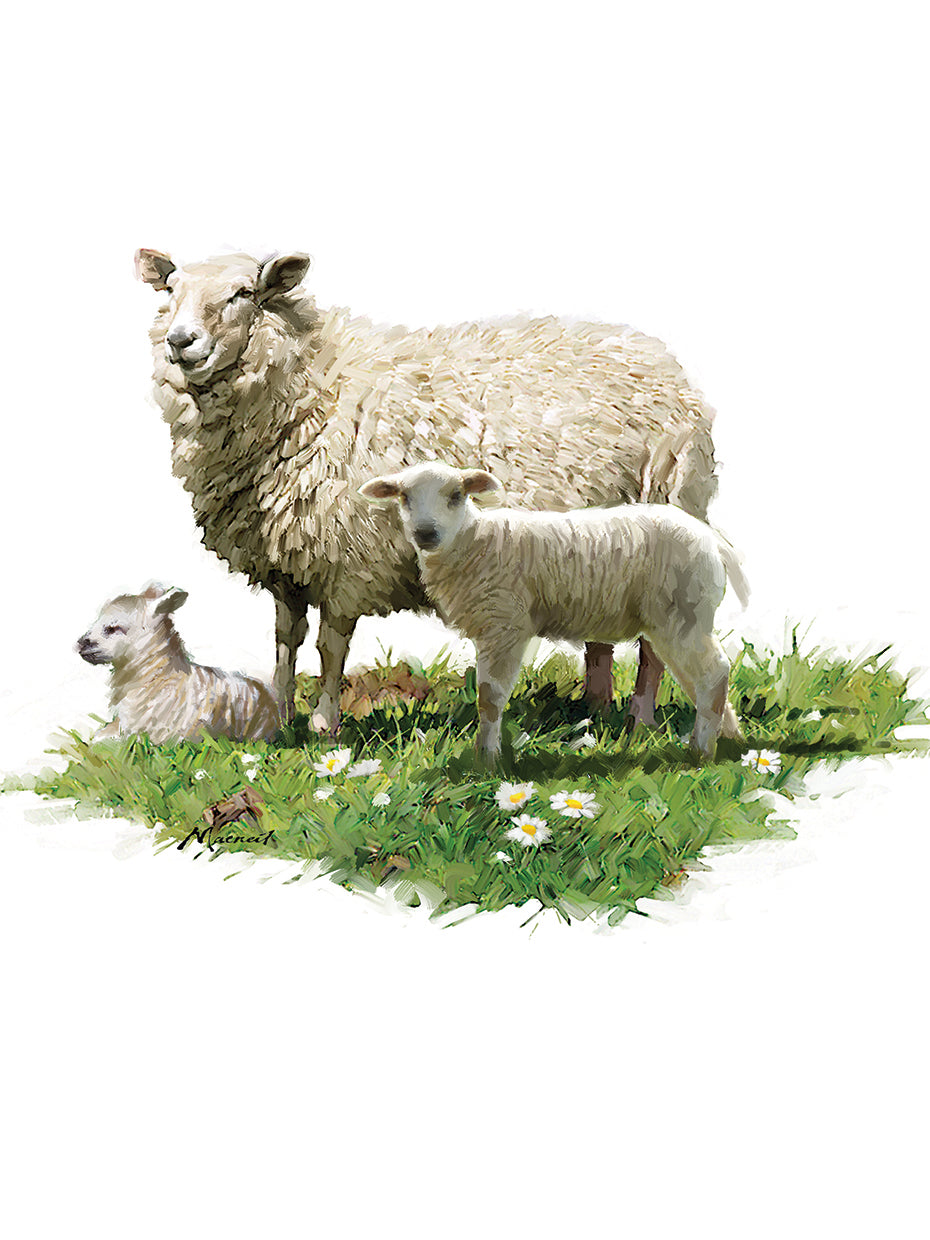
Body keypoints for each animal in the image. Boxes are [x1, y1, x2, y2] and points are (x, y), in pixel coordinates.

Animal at [135, 246, 719, 732]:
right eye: (171, 290)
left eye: (243, 294)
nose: (180, 341)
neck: (314, 386)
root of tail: (662, 359)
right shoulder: (288, 558)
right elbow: (285, 642)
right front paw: (277, 718)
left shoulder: (348, 555)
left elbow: (330, 645)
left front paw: (325, 725)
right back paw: (592, 712)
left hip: (668, 507)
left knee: (655, 641)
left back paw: (640, 718)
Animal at [360, 462, 749, 761]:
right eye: (404, 497)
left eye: (456, 495)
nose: (426, 534)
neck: (475, 539)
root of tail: (710, 538)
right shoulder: (490, 625)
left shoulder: (505, 624)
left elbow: (490, 697)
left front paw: (486, 759)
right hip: (676, 619)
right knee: (697, 679)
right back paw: (728, 737)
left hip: (681, 615)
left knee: (713, 674)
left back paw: (701, 751)